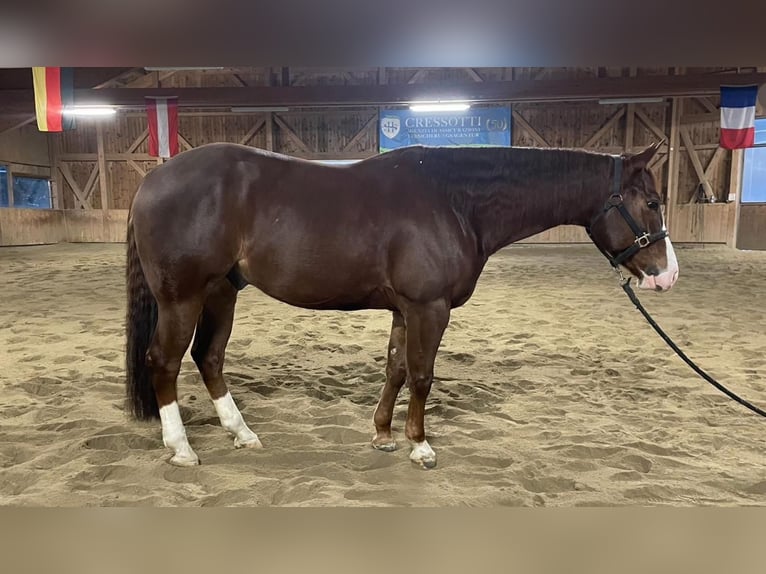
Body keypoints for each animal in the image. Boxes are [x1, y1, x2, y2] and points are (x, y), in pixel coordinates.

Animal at [125, 141, 679, 469]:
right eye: (652, 202)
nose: (668, 274)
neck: (456, 200)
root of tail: (151, 180)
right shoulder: (429, 307)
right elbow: (422, 375)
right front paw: (420, 445)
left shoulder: (403, 309)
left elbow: (394, 368)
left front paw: (383, 436)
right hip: (183, 296)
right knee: (164, 361)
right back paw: (182, 449)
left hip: (221, 292)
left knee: (208, 358)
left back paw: (242, 434)